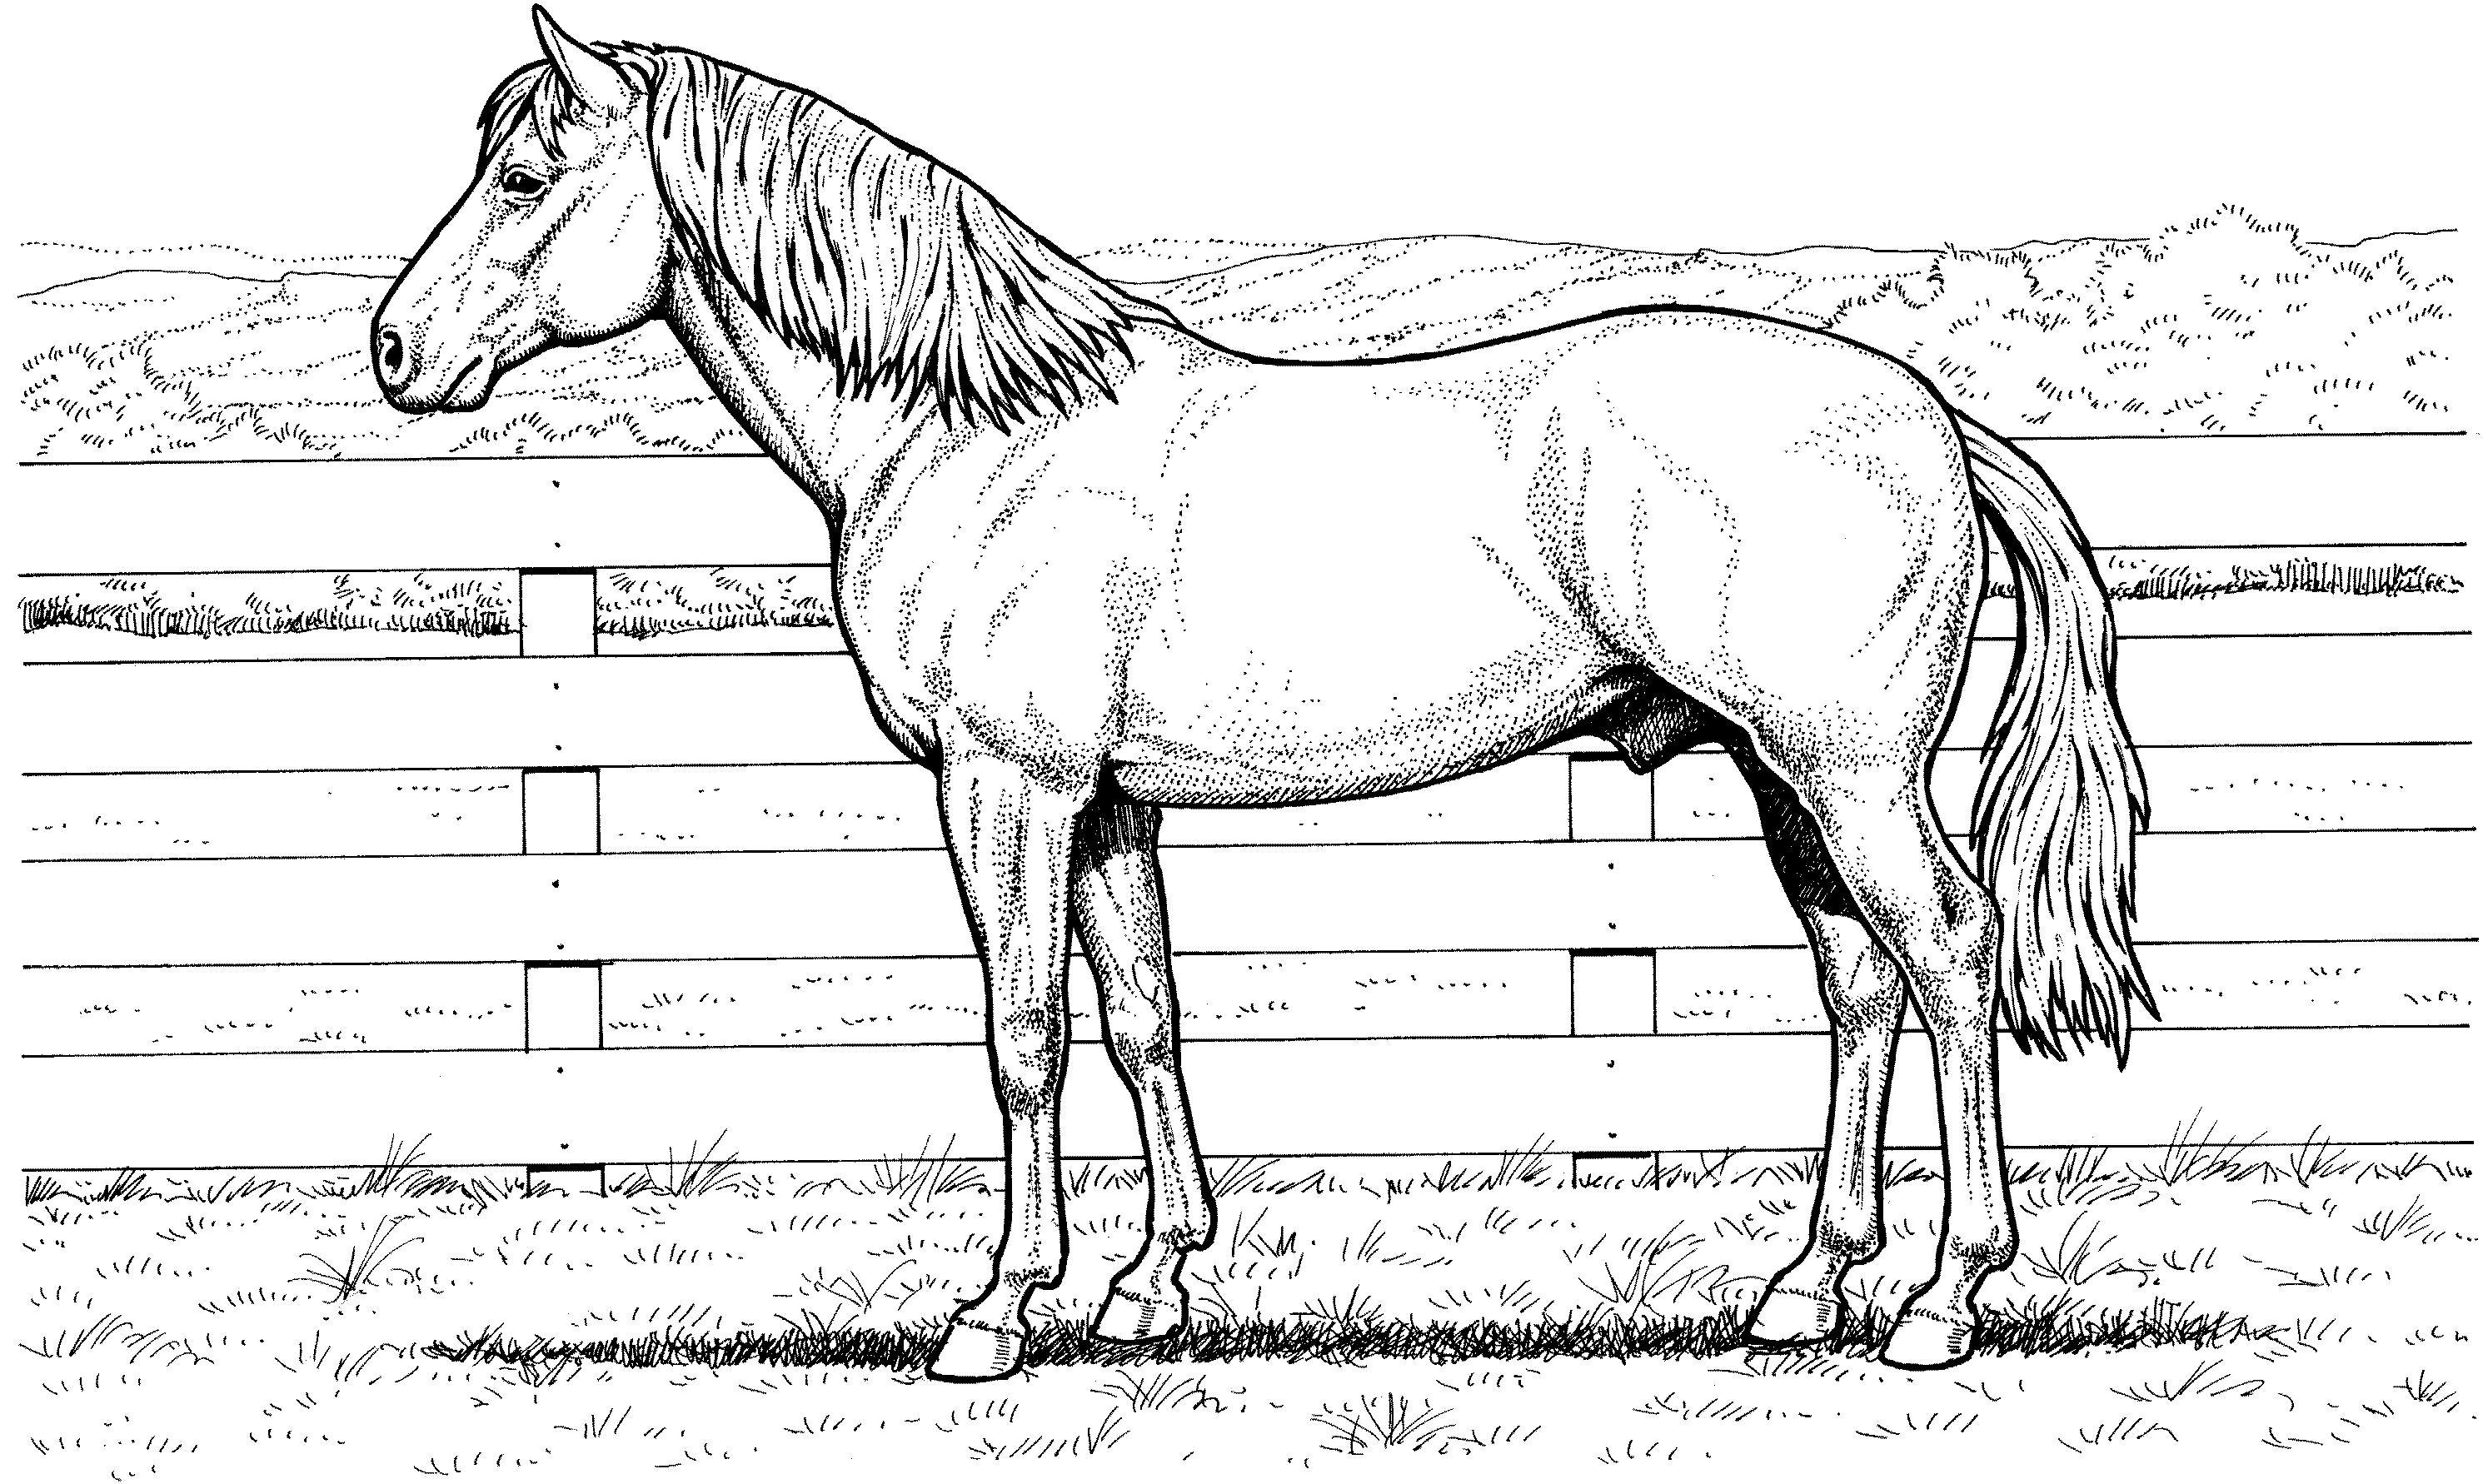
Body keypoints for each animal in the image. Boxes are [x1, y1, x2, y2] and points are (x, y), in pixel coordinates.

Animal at [375, 9, 2150, 1381]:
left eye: (525, 177)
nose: (395, 351)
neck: (976, 431)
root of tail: (1928, 414)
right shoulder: (1105, 807)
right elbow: (1142, 1017)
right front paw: (1148, 1284)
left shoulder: (1005, 785)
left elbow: (1024, 1035)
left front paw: (995, 1312)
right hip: (1784, 775)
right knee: (1860, 984)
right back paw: (1802, 1287)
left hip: (1848, 774)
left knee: (1951, 953)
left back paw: (1941, 1298)